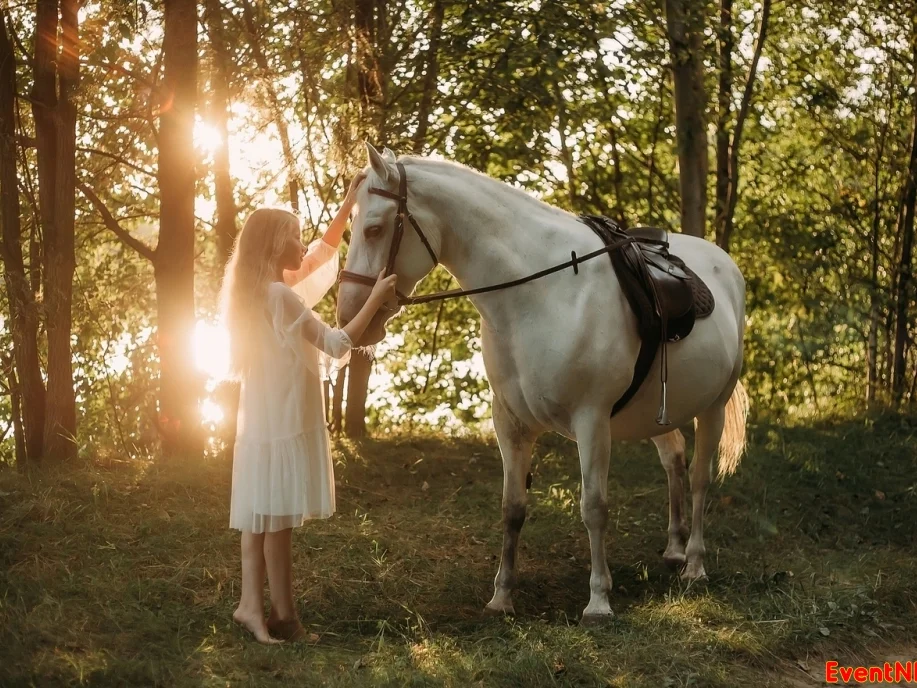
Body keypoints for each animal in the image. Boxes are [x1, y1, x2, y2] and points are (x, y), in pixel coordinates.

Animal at [336, 143, 748, 623]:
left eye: (374, 228)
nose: (349, 316)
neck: (540, 294)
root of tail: (724, 264)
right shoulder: (510, 423)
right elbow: (512, 508)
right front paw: (502, 595)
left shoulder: (592, 421)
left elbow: (594, 507)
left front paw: (599, 599)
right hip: (657, 414)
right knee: (674, 462)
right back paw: (675, 548)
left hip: (713, 407)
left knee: (700, 478)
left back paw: (695, 563)